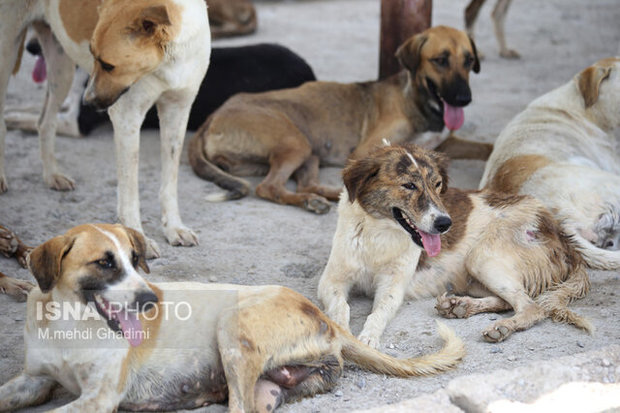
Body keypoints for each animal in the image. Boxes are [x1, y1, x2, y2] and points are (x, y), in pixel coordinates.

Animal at [0, 224, 464, 412]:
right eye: (105, 263)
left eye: (136, 259)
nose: (151, 301)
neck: (68, 324)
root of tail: (325, 317)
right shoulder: (33, 380)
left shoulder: (98, 398)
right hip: (269, 385)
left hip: (231, 324)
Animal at [188, 24, 490, 214]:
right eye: (440, 60)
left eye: (469, 60)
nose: (464, 99)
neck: (420, 104)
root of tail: (212, 116)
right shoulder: (368, 149)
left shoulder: (444, 144)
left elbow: (485, 148)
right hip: (295, 142)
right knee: (268, 187)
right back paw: (313, 200)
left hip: (309, 150)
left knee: (307, 183)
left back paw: (326, 197)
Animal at [318, 142, 592, 348]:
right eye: (408, 185)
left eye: (437, 184)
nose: (445, 223)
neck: (378, 233)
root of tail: (562, 235)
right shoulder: (331, 280)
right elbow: (340, 306)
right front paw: (342, 332)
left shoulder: (392, 286)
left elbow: (379, 312)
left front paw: (367, 338)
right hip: (473, 275)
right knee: (508, 301)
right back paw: (460, 306)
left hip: (482, 257)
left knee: (531, 307)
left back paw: (501, 327)